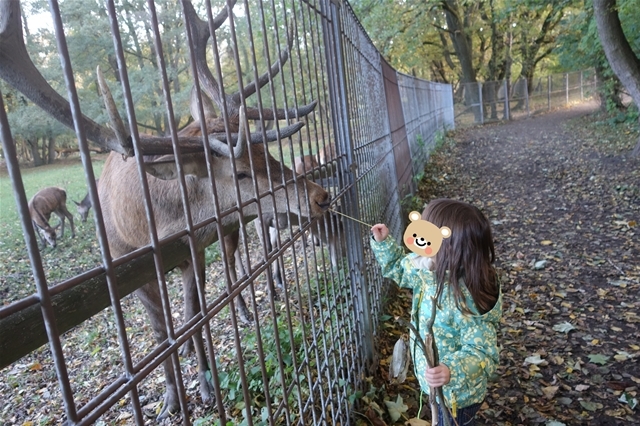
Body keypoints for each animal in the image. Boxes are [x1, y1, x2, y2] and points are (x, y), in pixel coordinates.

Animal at [1, 0, 330, 420]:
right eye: (240, 172)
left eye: (266, 152)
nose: (319, 195)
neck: (153, 225)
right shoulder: (128, 265)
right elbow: (161, 333)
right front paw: (172, 398)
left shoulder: (194, 247)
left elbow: (194, 313)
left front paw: (205, 384)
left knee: (227, 267)